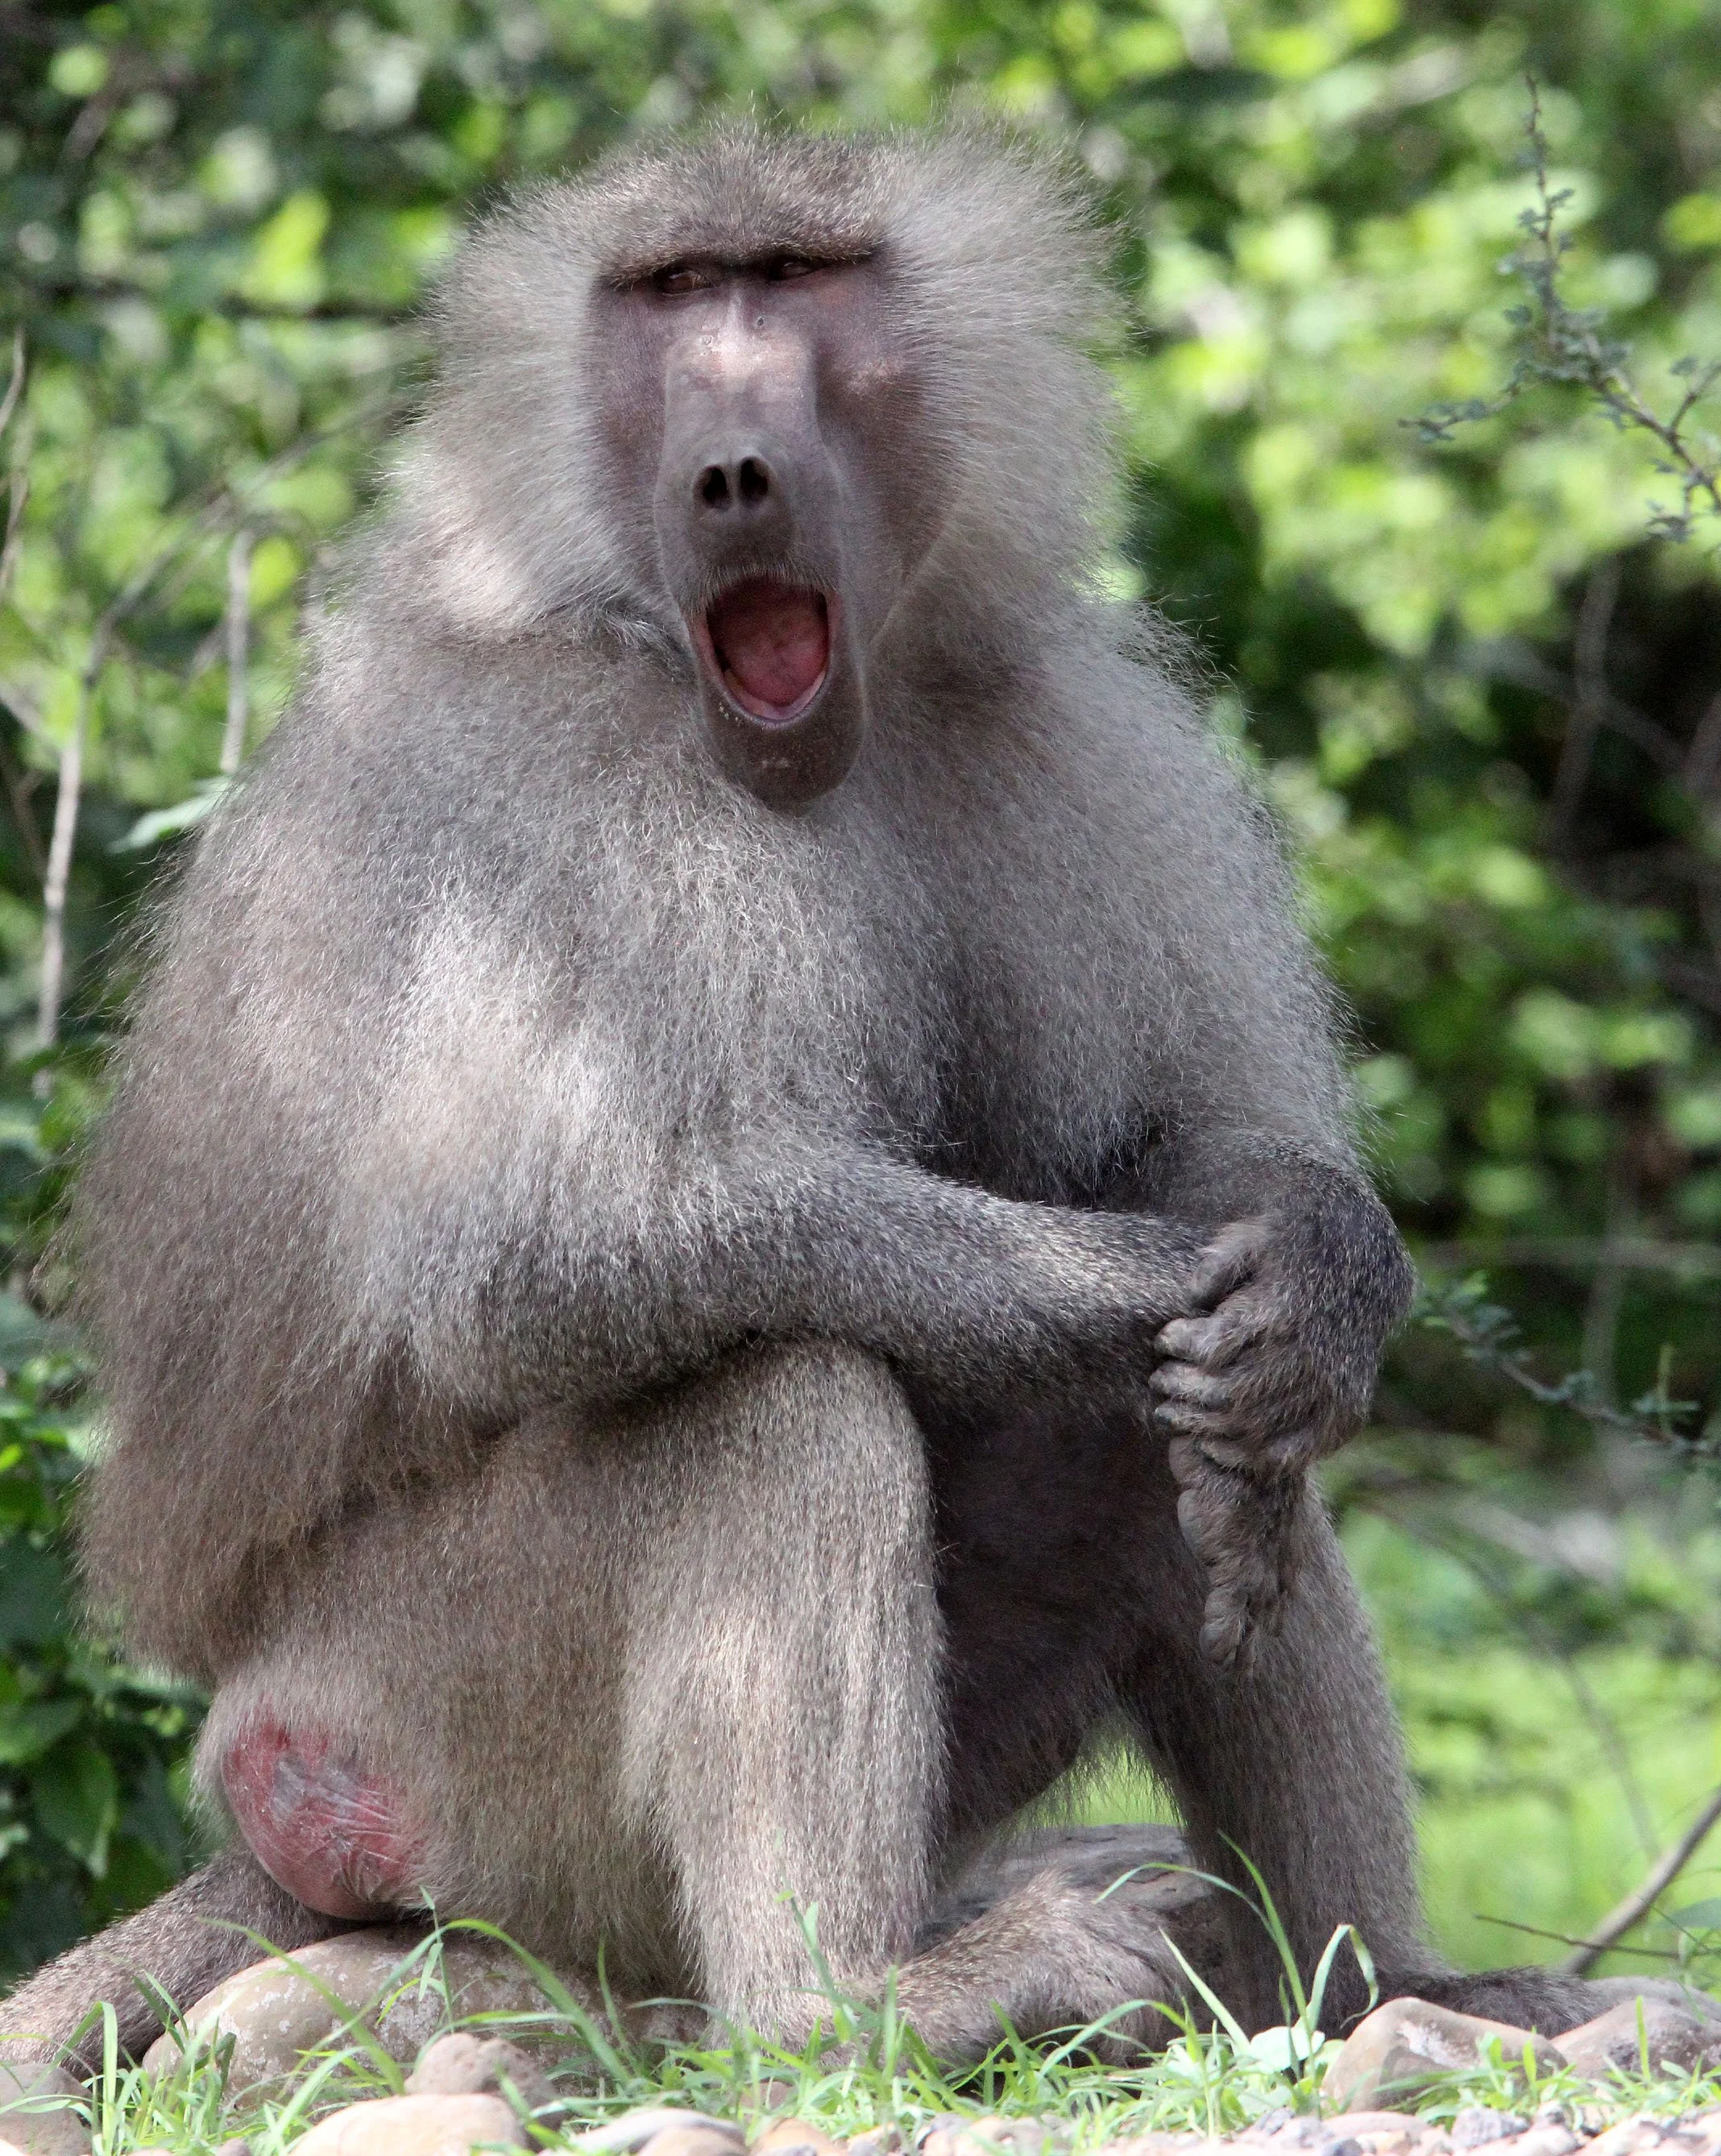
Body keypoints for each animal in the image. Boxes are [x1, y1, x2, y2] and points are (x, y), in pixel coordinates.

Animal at [1, 124, 1677, 2074]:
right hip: (431, 1732)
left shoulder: (1069, 736)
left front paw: (1323, 1280)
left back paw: (1392, 1983)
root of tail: (250, 1797)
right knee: (780, 1388)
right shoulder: (567, 819)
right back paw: (862, 2001)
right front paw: (1156, 1284)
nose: (733, 471)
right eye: (672, 298)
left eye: (795, 282)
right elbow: (517, 1273)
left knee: (1155, 1465)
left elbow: (1215, 1157)